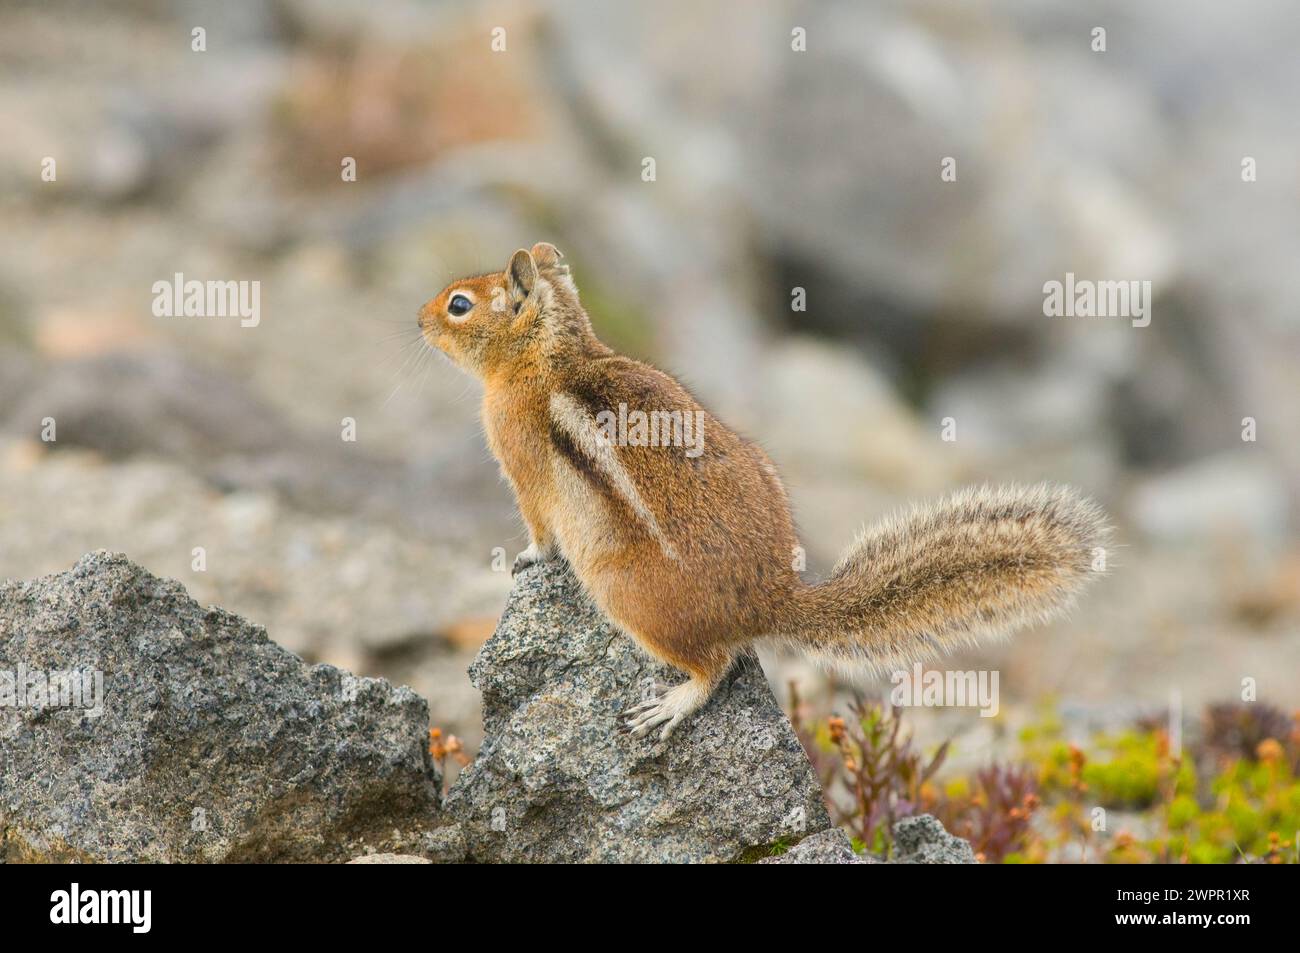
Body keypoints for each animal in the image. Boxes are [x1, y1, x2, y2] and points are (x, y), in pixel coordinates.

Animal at [423, 241, 1107, 738]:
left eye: (458, 305)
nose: (419, 321)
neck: (547, 357)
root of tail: (771, 599)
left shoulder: (524, 475)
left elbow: (539, 530)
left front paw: (528, 559)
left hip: (626, 596)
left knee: (714, 666)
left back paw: (672, 704)